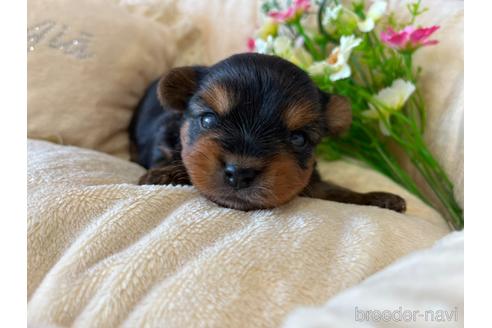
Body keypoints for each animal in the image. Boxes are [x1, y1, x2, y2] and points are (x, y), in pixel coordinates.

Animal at [129, 53, 406, 213]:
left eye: (298, 138)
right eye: (207, 119)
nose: (240, 173)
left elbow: (332, 189)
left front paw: (378, 199)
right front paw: (164, 174)